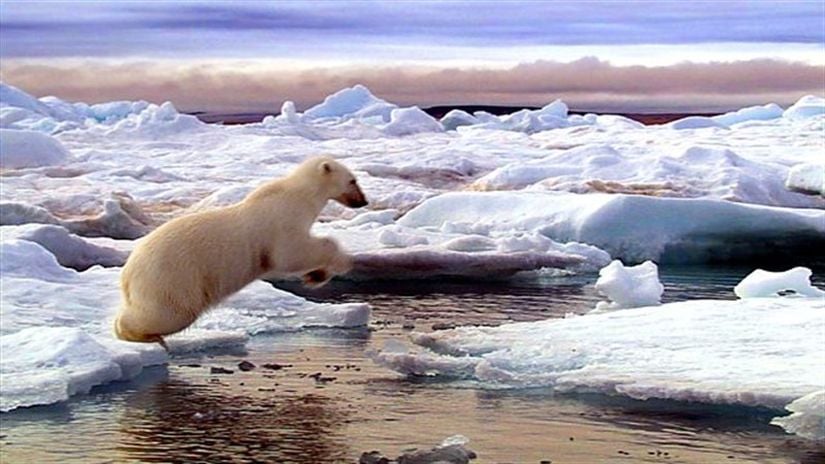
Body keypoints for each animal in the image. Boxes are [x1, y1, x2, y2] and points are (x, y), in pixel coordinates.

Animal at [113, 157, 366, 348]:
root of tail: (128, 274)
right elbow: (290, 254)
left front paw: (316, 275)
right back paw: (143, 335)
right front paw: (337, 264)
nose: (363, 201)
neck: (298, 195)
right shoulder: (282, 222)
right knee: (170, 314)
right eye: (353, 180)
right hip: (174, 280)